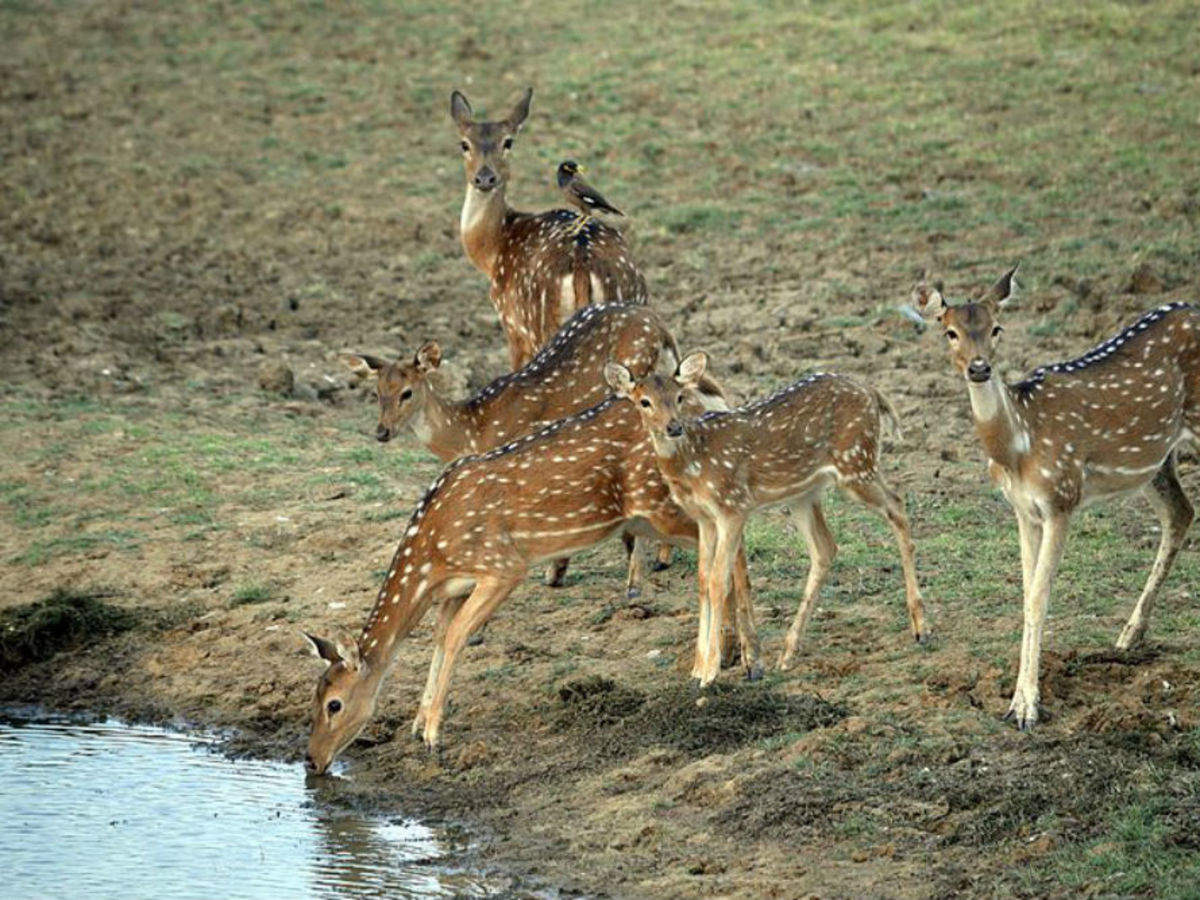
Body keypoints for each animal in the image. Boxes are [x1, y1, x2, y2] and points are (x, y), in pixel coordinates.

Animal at [304, 393, 763, 777]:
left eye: (334, 704)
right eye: (313, 694)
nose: (311, 761)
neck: (431, 557)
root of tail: (706, 408)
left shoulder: (502, 565)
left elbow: (455, 637)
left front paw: (433, 734)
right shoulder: (455, 587)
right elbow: (439, 637)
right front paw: (419, 723)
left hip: (664, 504)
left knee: (732, 543)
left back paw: (736, 662)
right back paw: (735, 658)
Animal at [343, 307, 724, 595]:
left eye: (407, 392)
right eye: (377, 392)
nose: (381, 432)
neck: (471, 429)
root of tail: (658, 322)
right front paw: (556, 573)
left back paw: (637, 580)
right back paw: (662, 558)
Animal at [451, 84, 648, 367]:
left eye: (508, 142)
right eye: (464, 144)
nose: (485, 178)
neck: (492, 251)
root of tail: (582, 265)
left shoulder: (512, 325)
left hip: (540, 327)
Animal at [609, 352, 926, 681]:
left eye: (679, 396)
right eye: (644, 401)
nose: (673, 427)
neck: (693, 463)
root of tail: (872, 391)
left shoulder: (733, 506)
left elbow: (719, 581)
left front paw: (710, 673)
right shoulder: (704, 518)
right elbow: (702, 580)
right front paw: (697, 668)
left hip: (855, 463)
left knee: (897, 506)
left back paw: (920, 627)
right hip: (805, 493)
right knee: (826, 548)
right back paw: (787, 653)